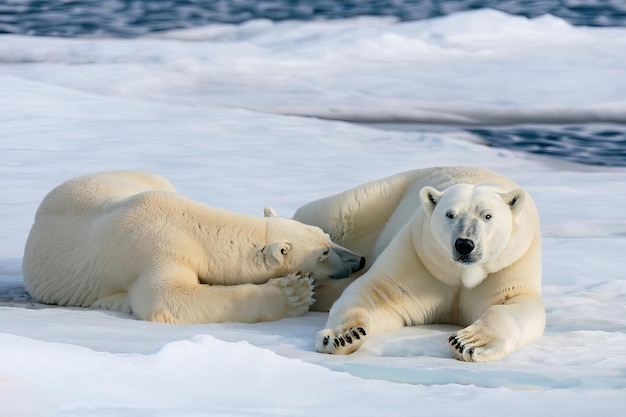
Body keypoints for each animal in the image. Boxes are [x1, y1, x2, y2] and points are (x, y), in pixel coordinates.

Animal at [23, 171, 366, 324]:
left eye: (326, 236)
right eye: (323, 253)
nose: (358, 259)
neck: (192, 224)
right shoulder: (155, 251)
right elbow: (168, 299)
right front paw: (294, 292)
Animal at [294, 166, 544, 360]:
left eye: (487, 216)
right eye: (450, 214)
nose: (464, 244)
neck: (461, 273)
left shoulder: (509, 264)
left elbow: (514, 304)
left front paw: (469, 343)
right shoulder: (420, 254)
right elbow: (379, 293)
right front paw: (343, 336)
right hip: (373, 201)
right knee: (331, 215)